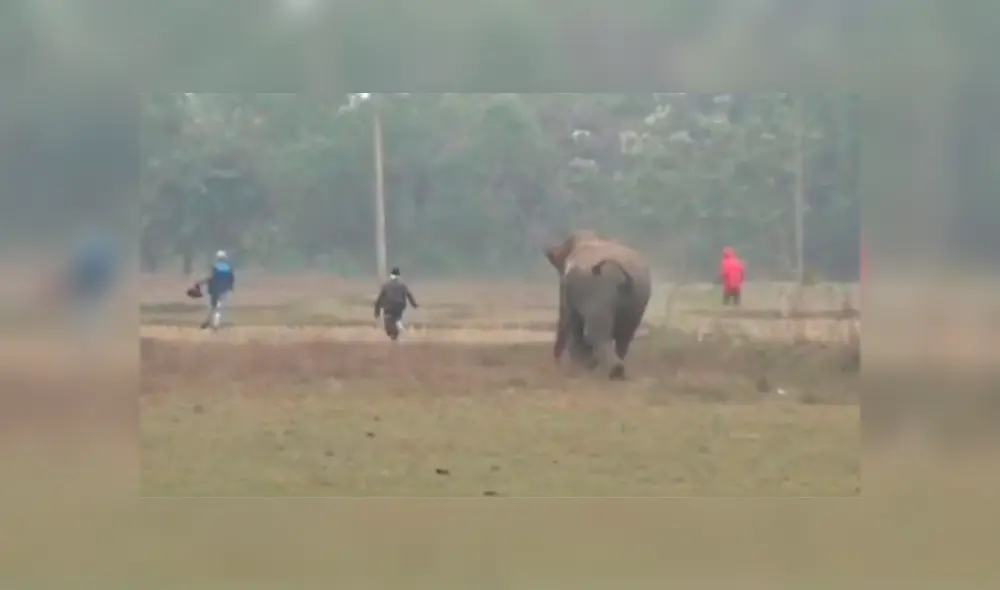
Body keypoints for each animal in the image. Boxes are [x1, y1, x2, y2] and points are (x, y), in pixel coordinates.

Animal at [544, 231, 652, 380]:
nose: (556, 362)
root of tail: (614, 266)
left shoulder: (568, 290)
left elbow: (570, 320)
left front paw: (579, 368)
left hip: (598, 290)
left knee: (597, 333)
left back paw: (610, 370)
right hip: (637, 298)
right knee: (625, 336)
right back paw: (617, 371)